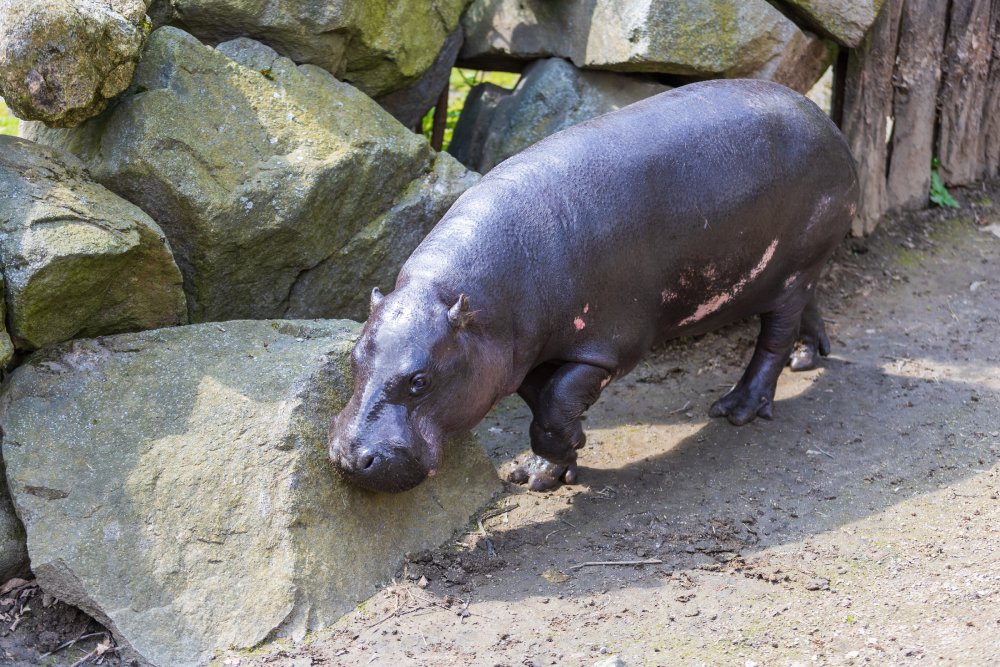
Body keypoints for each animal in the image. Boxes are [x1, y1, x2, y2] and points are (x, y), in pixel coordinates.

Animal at [329, 79, 858, 493]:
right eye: (353, 359)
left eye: (420, 380)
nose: (351, 457)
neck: (469, 302)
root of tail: (828, 123)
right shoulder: (518, 358)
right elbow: (542, 402)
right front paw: (541, 470)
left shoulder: (605, 347)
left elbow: (556, 402)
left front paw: (552, 463)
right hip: (788, 273)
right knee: (805, 309)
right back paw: (807, 358)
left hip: (792, 270)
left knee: (773, 338)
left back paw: (737, 408)